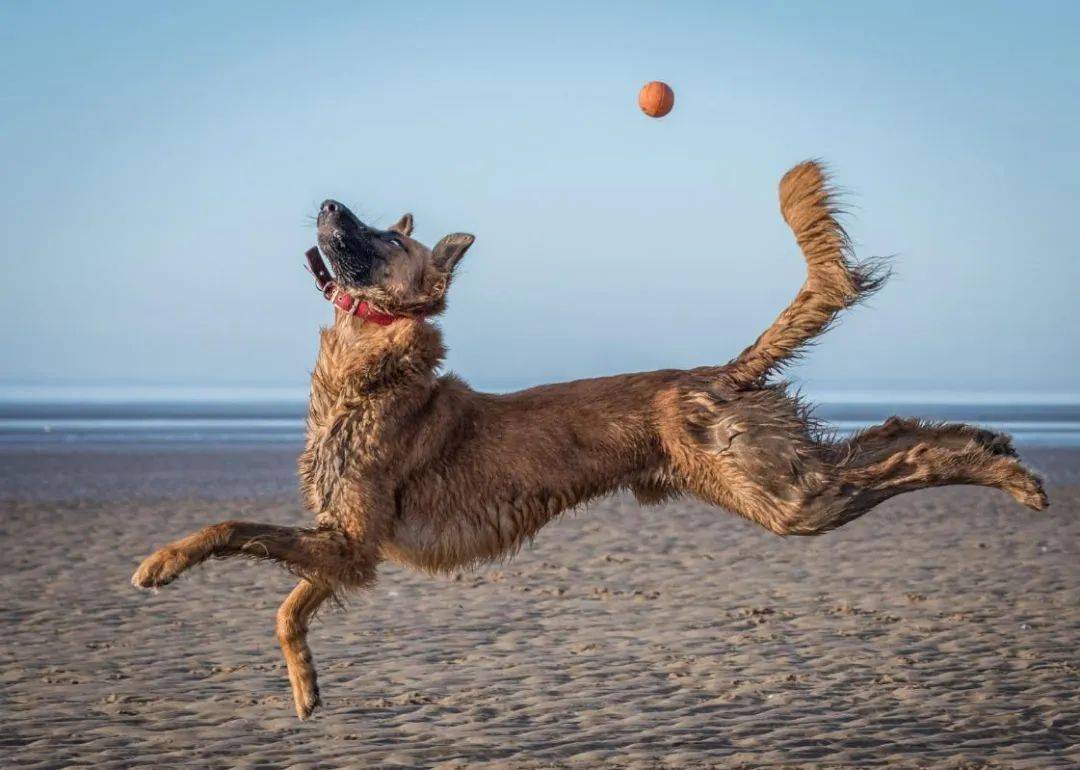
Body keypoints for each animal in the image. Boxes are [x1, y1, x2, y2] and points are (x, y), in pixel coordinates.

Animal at [132, 158, 1045, 717]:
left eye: (387, 236)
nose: (326, 201)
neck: (371, 367)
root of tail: (721, 372)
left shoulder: (350, 540)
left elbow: (231, 530)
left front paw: (161, 564)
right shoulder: (348, 550)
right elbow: (287, 608)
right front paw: (306, 690)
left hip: (783, 496)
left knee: (904, 456)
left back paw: (1010, 476)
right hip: (778, 477)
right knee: (892, 434)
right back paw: (994, 443)